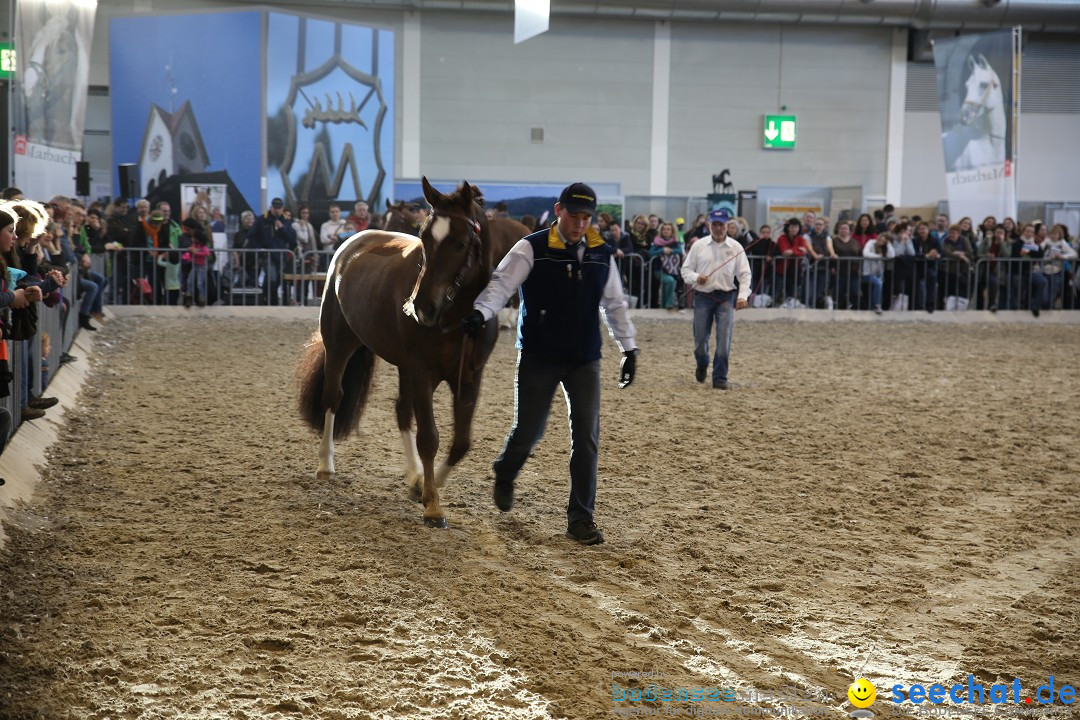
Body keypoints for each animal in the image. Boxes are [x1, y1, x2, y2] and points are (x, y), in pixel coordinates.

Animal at [295, 179, 496, 528]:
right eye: (425, 237)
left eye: (460, 244)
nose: (422, 308)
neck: (459, 317)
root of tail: (352, 245)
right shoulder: (421, 371)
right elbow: (429, 437)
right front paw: (433, 507)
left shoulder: (469, 377)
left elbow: (461, 443)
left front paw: (423, 486)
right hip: (340, 345)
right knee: (333, 397)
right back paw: (325, 465)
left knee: (402, 411)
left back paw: (414, 474)